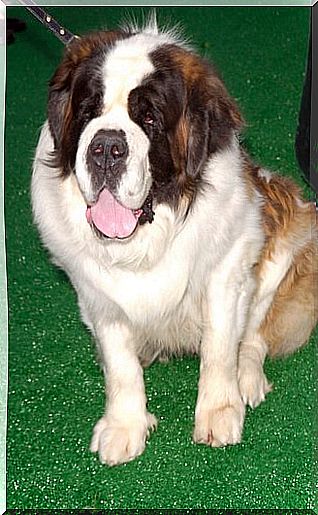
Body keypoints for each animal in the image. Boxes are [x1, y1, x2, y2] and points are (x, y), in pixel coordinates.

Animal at [31, 19, 316, 468]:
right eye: (88, 111)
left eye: (149, 118)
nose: (106, 148)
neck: (148, 237)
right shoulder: (96, 293)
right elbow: (120, 364)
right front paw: (124, 426)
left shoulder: (228, 267)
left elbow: (220, 347)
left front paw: (219, 413)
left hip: (286, 238)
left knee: (253, 335)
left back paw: (247, 379)